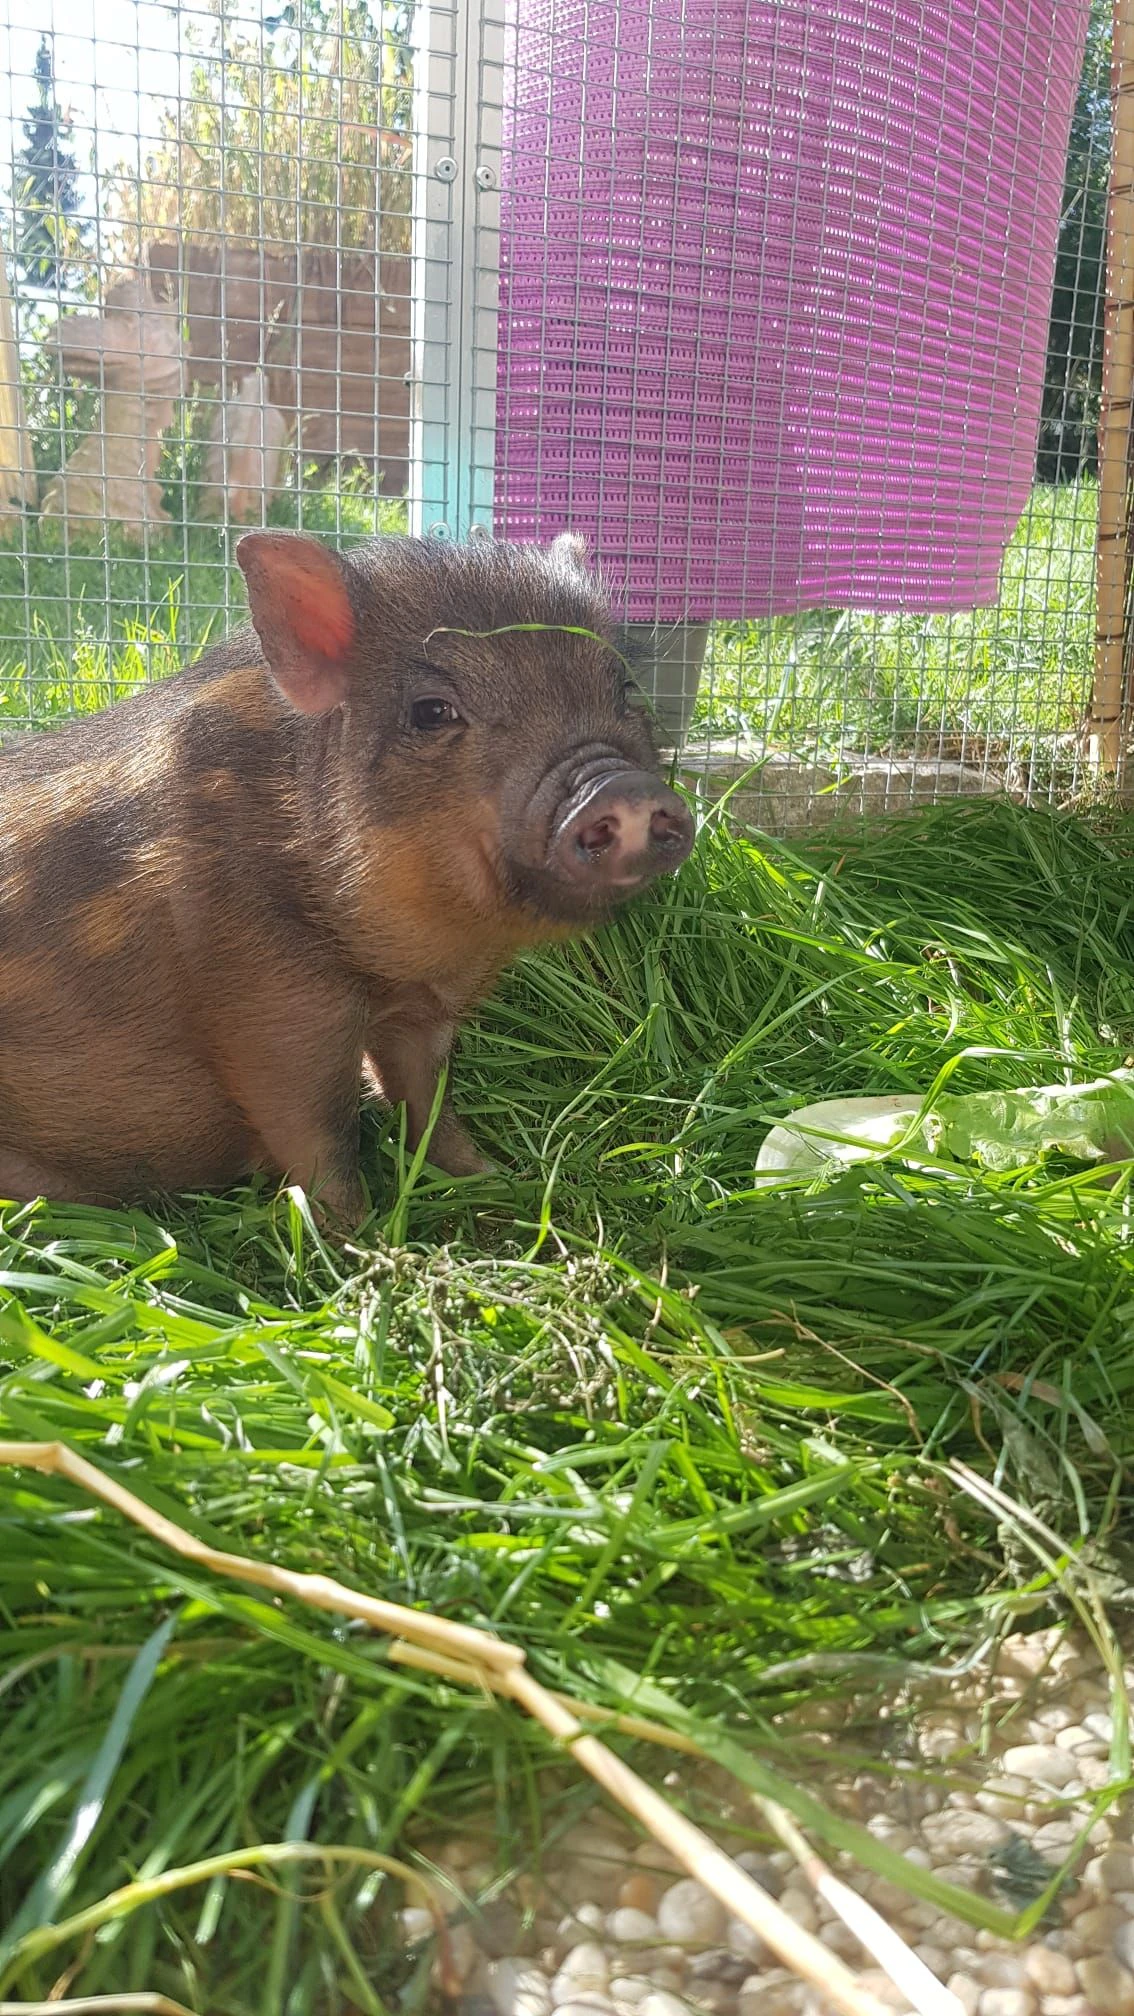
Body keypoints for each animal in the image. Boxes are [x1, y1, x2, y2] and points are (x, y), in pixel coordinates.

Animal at [0, 531, 693, 1222]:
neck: (411, 960)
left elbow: (428, 1100)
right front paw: (365, 1237)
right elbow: (321, 1138)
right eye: (432, 711)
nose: (623, 787)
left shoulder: (423, 1015)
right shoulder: (269, 1000)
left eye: (626, 691)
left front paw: (495, 1180)